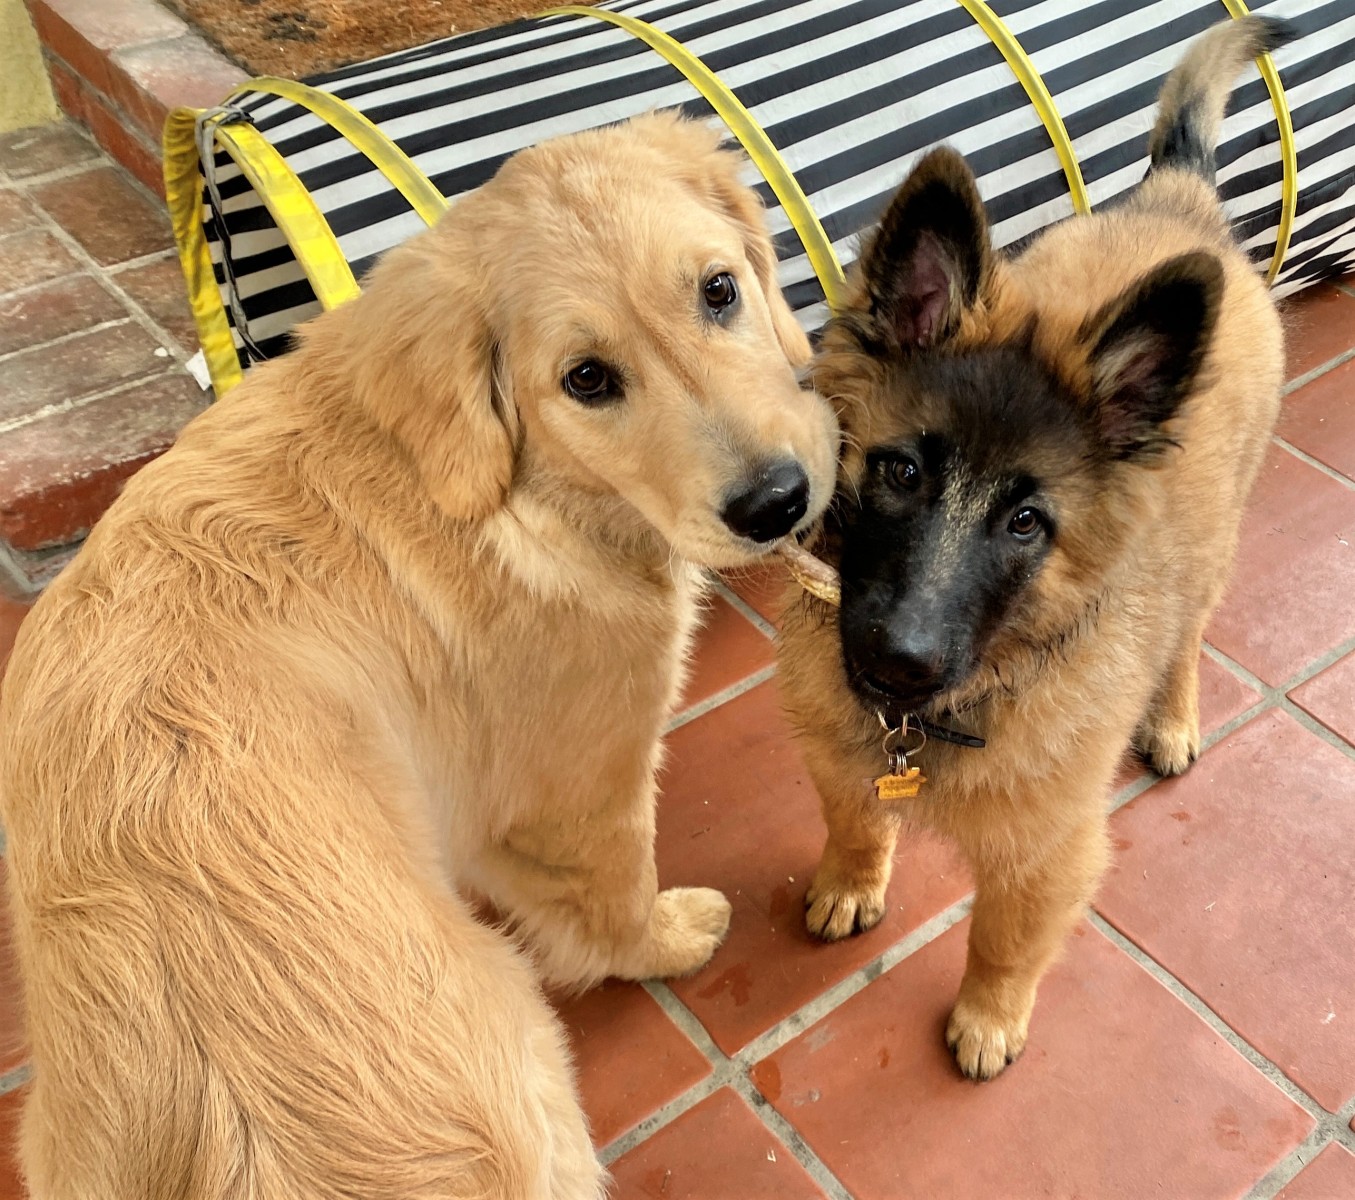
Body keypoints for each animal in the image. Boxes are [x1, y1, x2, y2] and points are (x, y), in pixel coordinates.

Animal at [0, 115, 840, 1200]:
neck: (512, 491)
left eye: (719, 290)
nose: (777, 502)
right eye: (586, 379)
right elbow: (614, 893)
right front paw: (660, 940)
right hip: (523, 1058)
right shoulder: (585, 781)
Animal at [775, 11, 1289, 1078]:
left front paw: (987, 1018)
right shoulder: (836, 753)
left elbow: (1003, 937)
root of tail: (1178, 205)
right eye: (899, 472)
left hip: (1212, 549)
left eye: (1024, 523)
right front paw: (851, 879)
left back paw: (1171, 718)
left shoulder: (1047, 850)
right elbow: (852, 816)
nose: (898, 663)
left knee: (1186, 636)